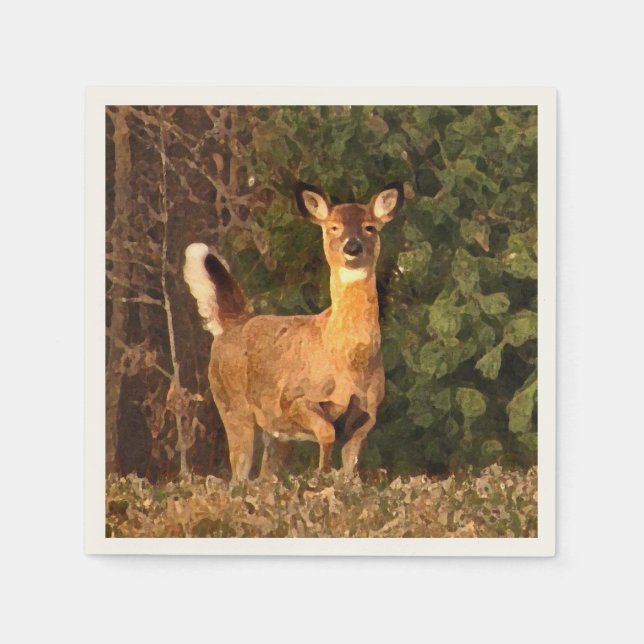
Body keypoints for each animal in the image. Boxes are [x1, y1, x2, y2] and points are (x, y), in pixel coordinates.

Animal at [183, 182, 404, 481]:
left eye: (370, 226)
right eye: (333, 227)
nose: (352, 246)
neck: (347, 361)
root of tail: (235, 321)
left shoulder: (367, 413)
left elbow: (351, 464)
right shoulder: (293, 397)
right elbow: (327, 431)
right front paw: (321, 474)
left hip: (272, 430)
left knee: (265, 472)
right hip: (231, 405)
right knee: (238, 473)